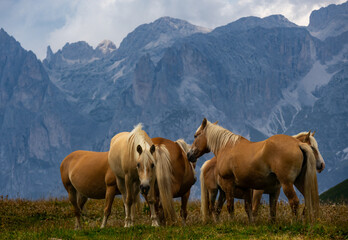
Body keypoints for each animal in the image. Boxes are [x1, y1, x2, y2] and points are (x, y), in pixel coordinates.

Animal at [189, 119, 320, 222]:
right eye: (313, 147)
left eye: (196, 135)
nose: (189, 155)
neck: (227, 147)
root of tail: (298, 144)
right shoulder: (247, 188)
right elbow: (251, 209)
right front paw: (252, 224)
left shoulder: (229, 183)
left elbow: (231, 207)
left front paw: (232, 223)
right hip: (299, 182)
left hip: (287, 183)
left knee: (294, 201)